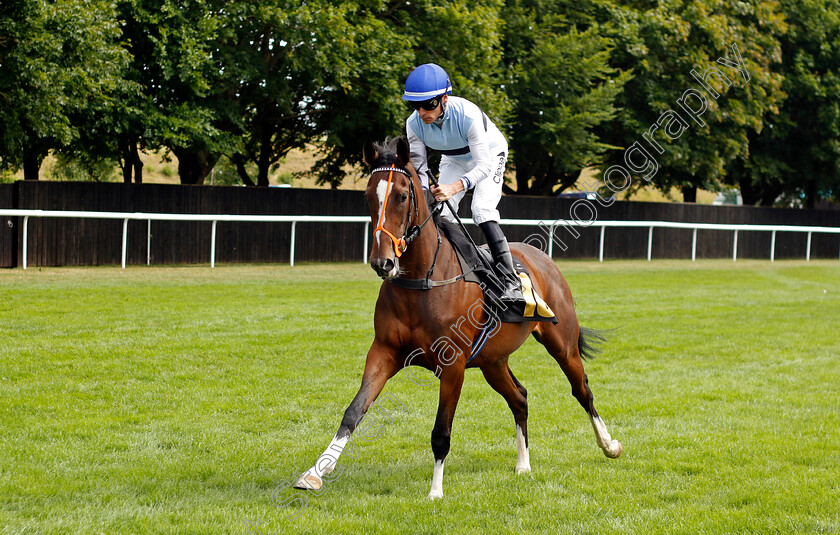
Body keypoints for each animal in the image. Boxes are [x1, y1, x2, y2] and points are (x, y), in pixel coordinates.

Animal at [294, 136, 616, 500]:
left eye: (402, 196)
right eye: (367, 196)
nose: (382, 262)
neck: (422, 282)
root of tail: (541, 257)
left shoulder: (453, 365)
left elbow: (441, 430)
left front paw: (435, 491)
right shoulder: (384, 352)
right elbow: (353, 411)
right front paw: (315, 473)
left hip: (562, 345)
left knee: (582, 390)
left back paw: (609, 444)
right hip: (493, 361)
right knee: (520, 398)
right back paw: (523, 465)